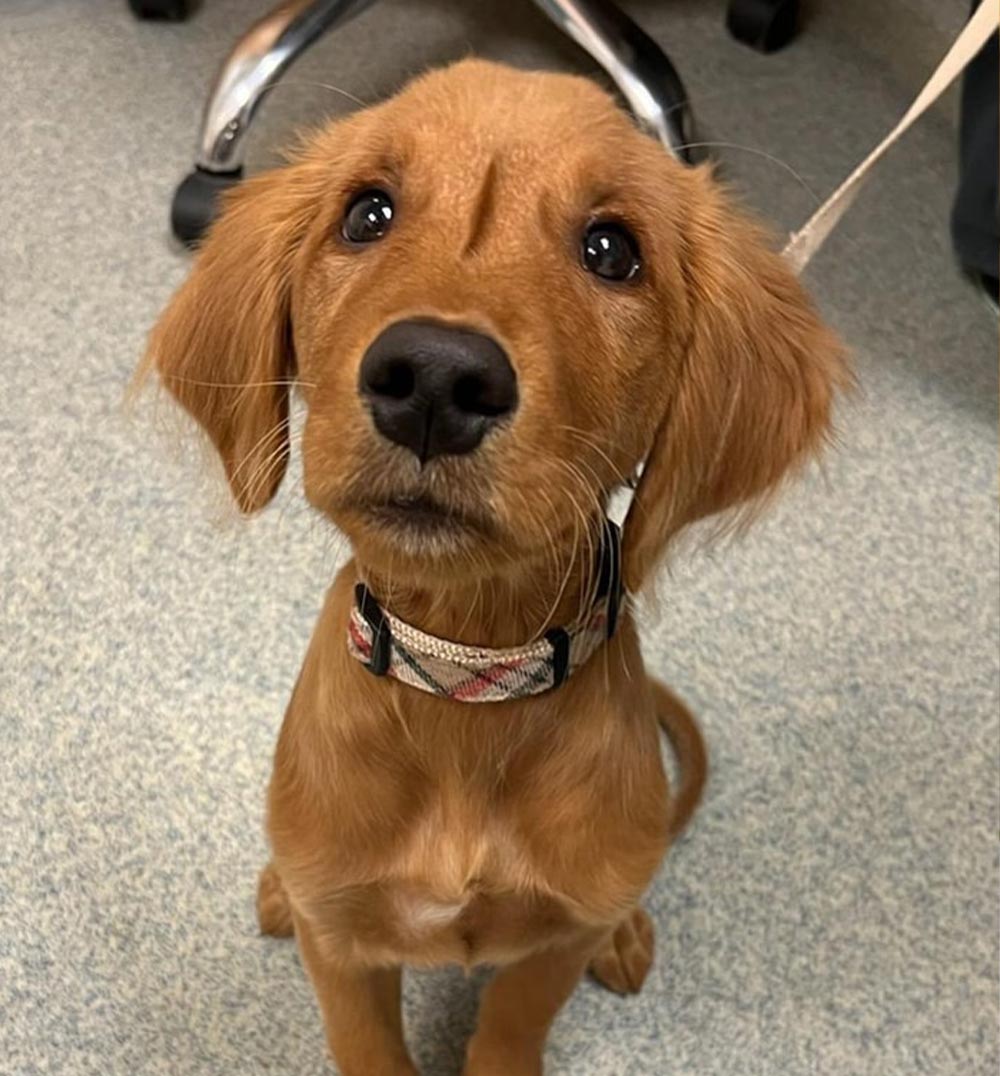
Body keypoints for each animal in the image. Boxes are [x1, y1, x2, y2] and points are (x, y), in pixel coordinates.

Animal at [139, 61, 843, 1076]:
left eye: (611, 250)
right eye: (367, 215)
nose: (436, 377)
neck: (466, 675)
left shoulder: (550, 947)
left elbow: (509, 1031)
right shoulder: (345, 951)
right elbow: (367, 1043)